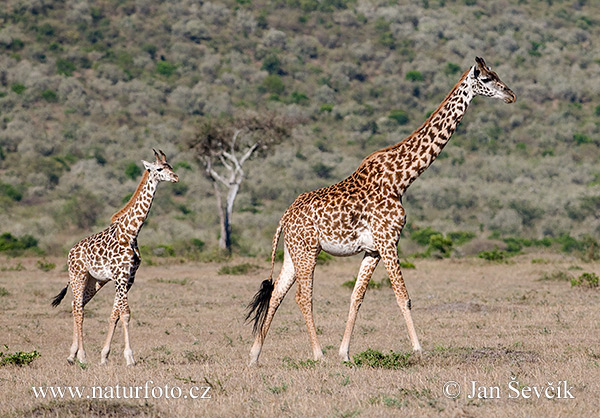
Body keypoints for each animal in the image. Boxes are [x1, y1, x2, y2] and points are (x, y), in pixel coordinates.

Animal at [52, 149, 178, 364]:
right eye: (160, 169)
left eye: (170, 166)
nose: (176, 177)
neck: (131, 232)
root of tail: (70, 252)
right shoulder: (120, 276)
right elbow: (126, 314)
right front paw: (130, 358)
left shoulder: (128, 278)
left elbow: (116, 314)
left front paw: (104, 356)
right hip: (78, 275)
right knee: (79, 308)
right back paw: (82, 356)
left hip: (95, 281)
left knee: (76, 304)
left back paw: (72, 355)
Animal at [247, 57, 516, 364]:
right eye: (486, 79)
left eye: (496, 74)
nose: (511, 95)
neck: (402, 179)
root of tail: (284, 217)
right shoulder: (388, 240)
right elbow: (403, 296)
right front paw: (418, 350)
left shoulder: (373, 249)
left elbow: (357, 297)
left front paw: (345, 353)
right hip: (308, 250)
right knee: (302, 297)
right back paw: (317, 354)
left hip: (293, 251)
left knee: (277, 293)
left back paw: (254, 355)